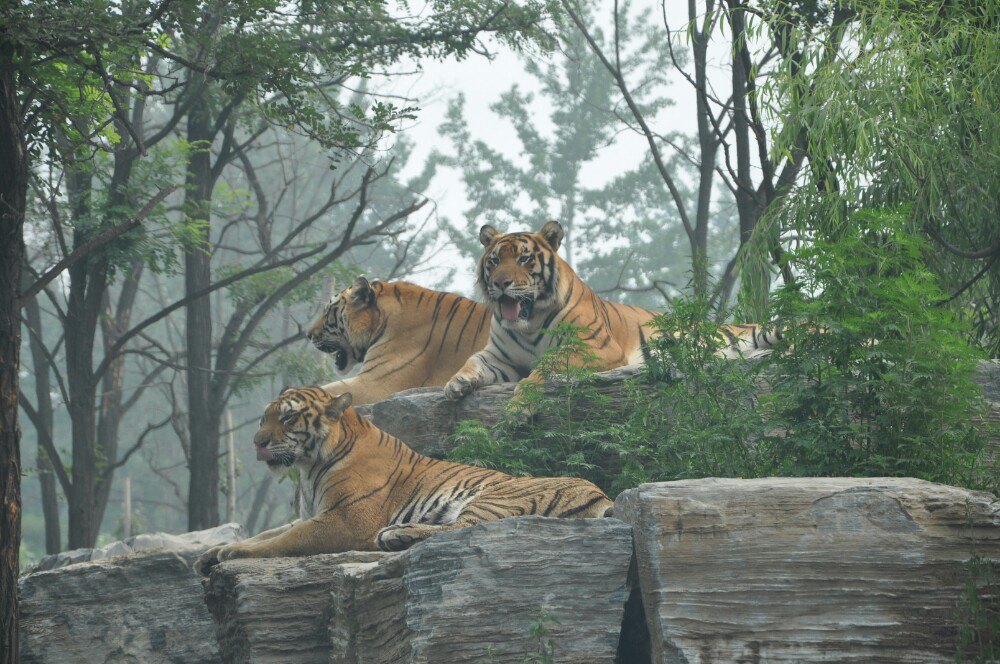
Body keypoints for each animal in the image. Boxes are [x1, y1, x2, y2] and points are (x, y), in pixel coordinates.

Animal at [188, 386, 608, 572]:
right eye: (264, 417)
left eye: (288, 417)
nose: (257, 442)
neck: (308, 467)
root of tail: (603, 496)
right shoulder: (311, 513)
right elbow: (268, 533)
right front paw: (211, 552)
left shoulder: (345, 519)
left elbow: (284, 540)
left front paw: (229, 554)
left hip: (495, 495)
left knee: (465, 530)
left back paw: (396, 534)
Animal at [446, 222, 780, 404]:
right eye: (493, 261)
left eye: (524, 259)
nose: (501, 283)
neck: (529, 324)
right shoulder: (499, 356)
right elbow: (473, 361)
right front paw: (457, 383)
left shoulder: (595, 348)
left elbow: (545, 367)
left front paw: (519, 407)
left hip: (771, 331)